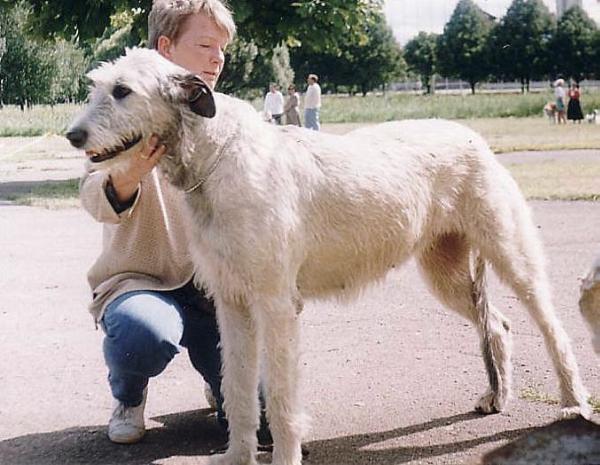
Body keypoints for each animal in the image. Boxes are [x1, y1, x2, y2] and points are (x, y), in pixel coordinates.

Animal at [65, 48, 592, 465]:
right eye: (97, 86)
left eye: (123, 90)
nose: (73, 135)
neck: (218, 155)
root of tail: (474, 137)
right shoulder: (233, 304)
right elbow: (237, 388)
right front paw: (237, 455)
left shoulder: (277, 304)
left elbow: (279, 397)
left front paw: (283, 455)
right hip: (444, 269)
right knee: (497, 324)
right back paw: (496, 395)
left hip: (509, 251)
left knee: (550, 324)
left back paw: (572, 401)